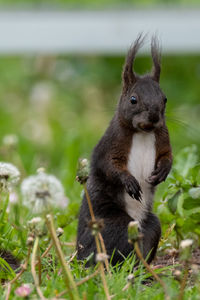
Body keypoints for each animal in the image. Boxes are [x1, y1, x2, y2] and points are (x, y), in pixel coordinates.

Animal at [76, 34, 172, 266]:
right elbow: (110, 165)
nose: (154, 116)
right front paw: (129, 182)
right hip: (116, 226)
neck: (143, 133)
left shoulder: (163, 139)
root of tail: (78, 253)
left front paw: (162, 171)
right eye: (133, 100)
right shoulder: (111, 144)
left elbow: (168, 156)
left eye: (164, 99)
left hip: (151, 225)